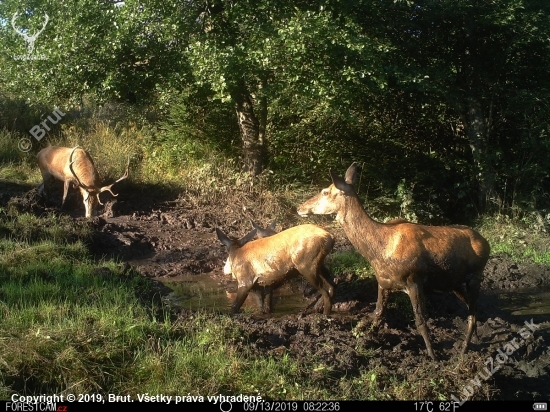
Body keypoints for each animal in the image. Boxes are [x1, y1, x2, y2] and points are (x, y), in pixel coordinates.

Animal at [300, 163, 494, 358]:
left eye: (325, 191)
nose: (300, 207)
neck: (378, 252)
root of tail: (486, 243)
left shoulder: (414, 280)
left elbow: (421, 320)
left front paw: (433, 356)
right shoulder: (383, 283)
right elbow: (377, 313)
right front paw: (364, 343)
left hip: (475, 275)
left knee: (472, 312)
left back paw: (464, 349)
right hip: (454, 283)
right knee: (472, 309)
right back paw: (475, 339)